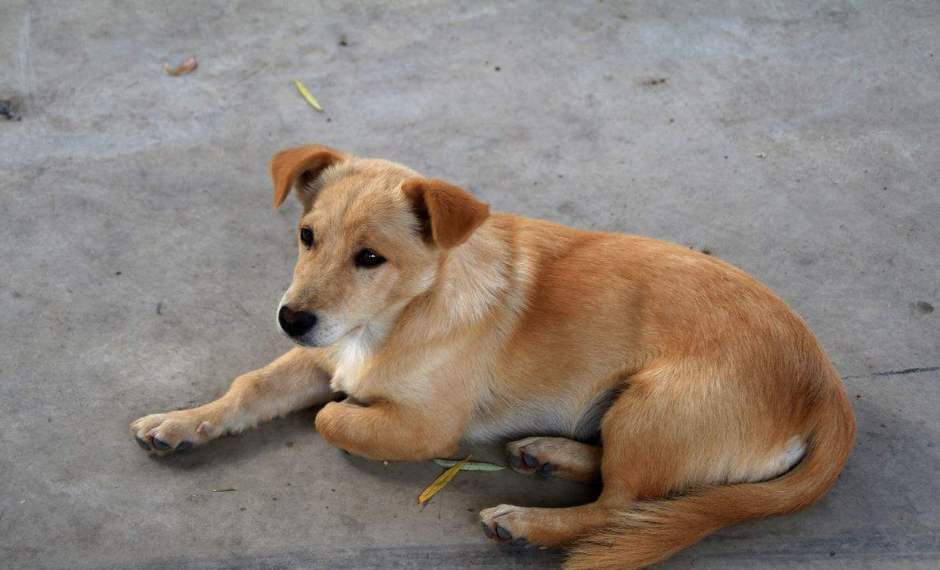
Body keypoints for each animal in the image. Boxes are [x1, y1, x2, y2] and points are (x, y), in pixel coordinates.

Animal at [129, 146, 856, 568]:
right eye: (307, 237)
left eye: (371, 258)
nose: (290, 318)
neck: (399, 317)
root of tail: (826, 389)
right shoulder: (323, 354)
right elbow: (250, 387)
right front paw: (180, 421)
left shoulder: (423, 427)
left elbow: (328, 419)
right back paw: (548, 452)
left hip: (654, 406)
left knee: (621, 507)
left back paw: (528, 522)